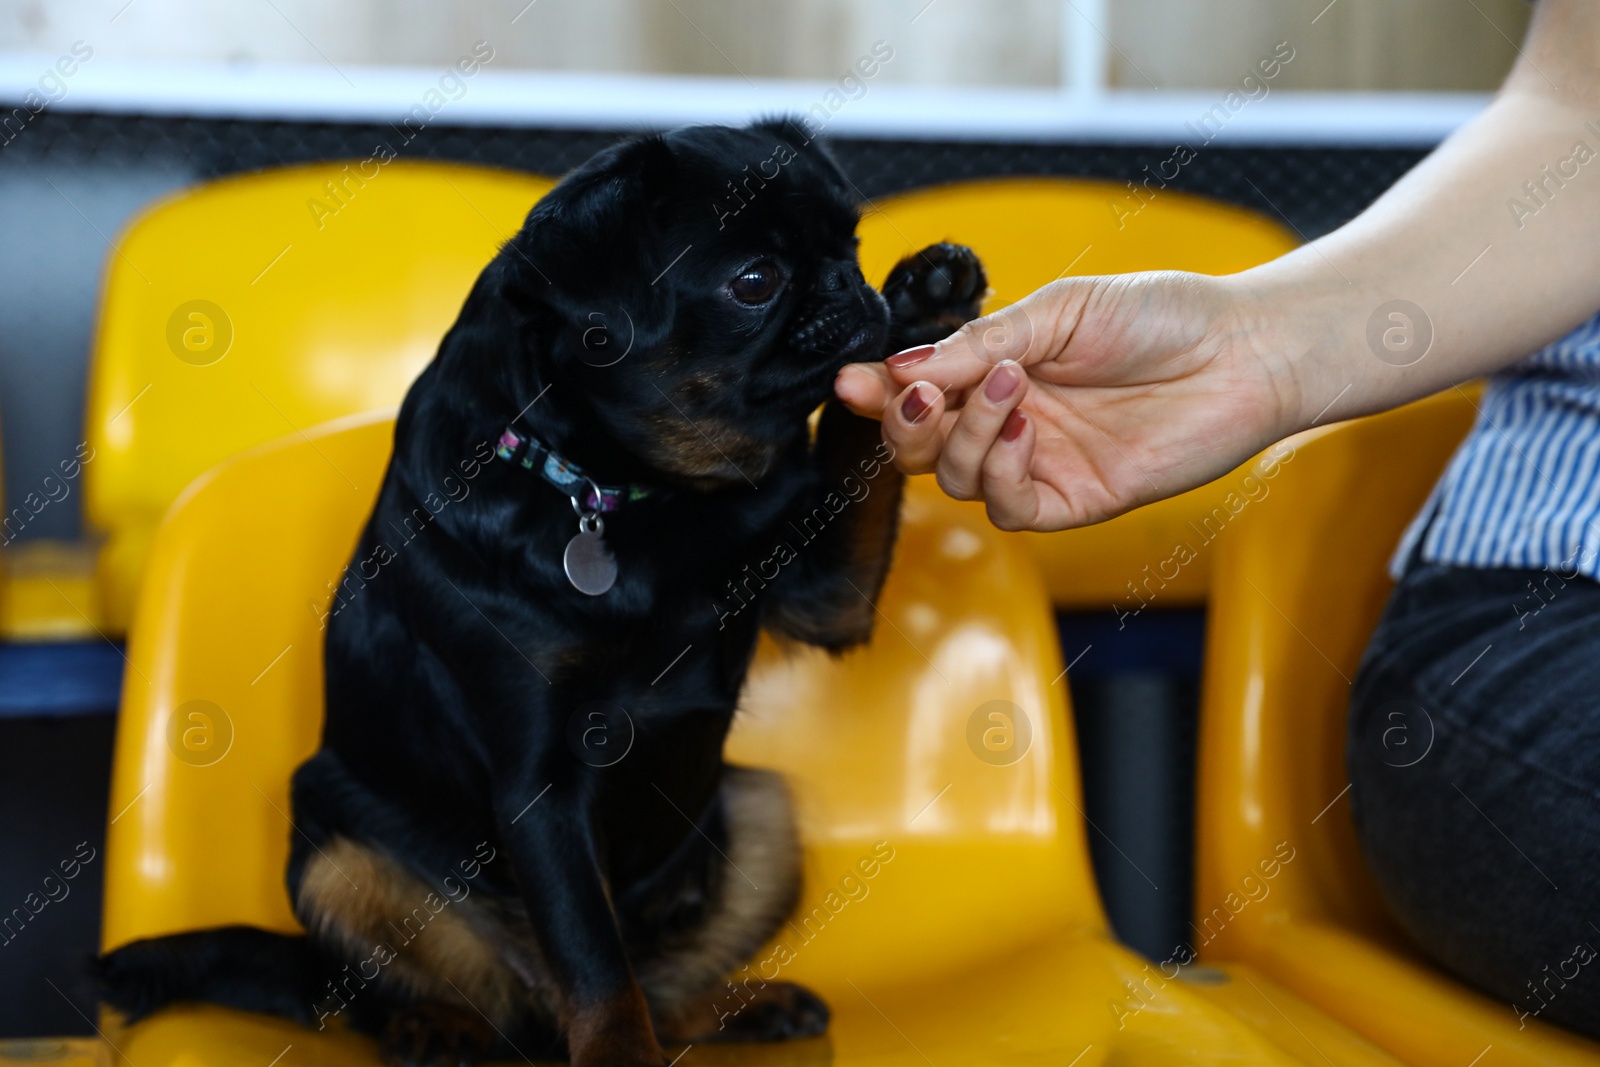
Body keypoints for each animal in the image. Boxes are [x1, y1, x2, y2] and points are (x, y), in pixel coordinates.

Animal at [96, 120, 985, 1067]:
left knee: (654, 985)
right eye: (756, 282)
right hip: (335, 848)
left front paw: (927, 306)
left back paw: (736, 1009)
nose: (853, 287)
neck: (624, 493)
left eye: (849, 245)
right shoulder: (542, 786)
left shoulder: (828, 594)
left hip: (762, 805)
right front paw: (619, 1058)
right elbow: (594, 964)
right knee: (437, 994)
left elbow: (859, 439)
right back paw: (437, 1024)